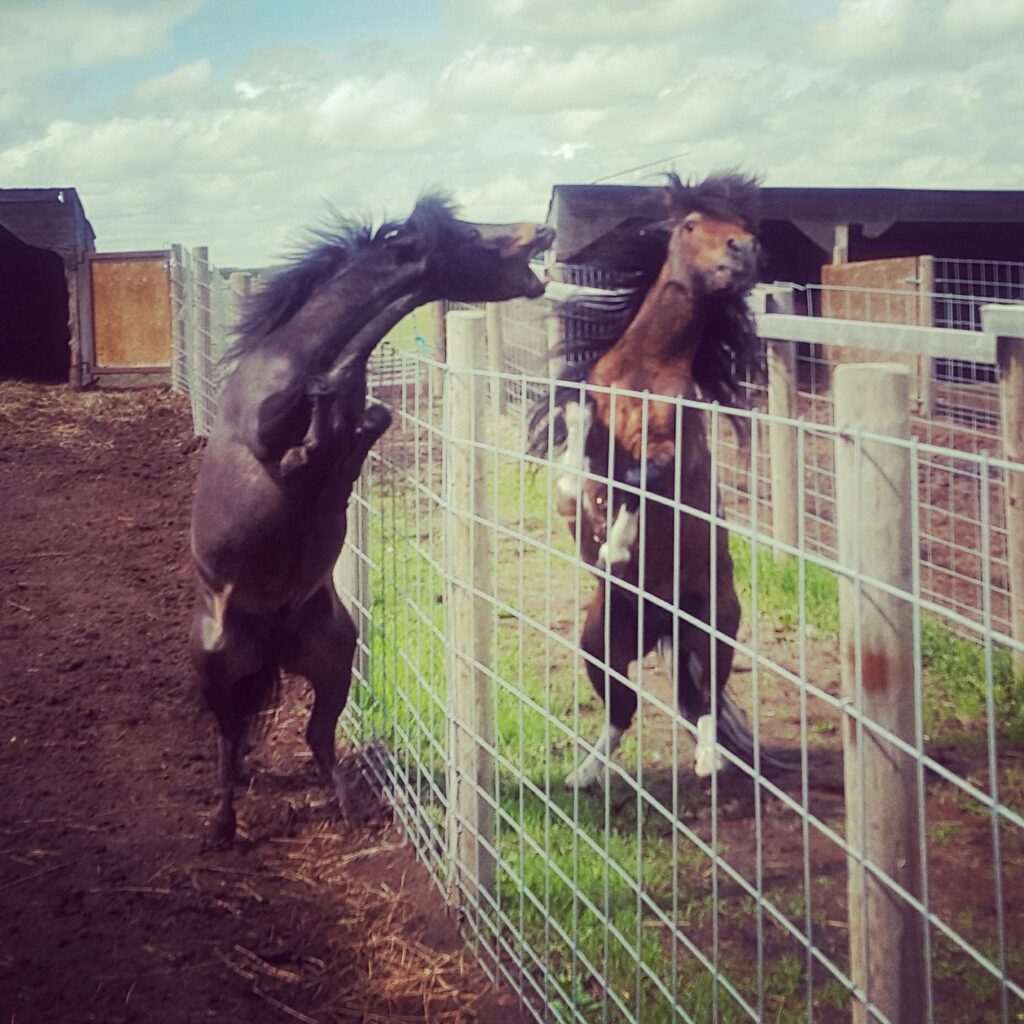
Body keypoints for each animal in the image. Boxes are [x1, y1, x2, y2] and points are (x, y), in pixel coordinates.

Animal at [190, 194, 554, 842]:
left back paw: (350, 811)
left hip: (337, 658)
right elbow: (304, 432)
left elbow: (368, 422)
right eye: (466, 235)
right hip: (215, 666)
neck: (301, 353)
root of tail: (272, 641)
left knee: (316, 734)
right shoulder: (263, 433)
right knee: (229, 742)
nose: (542, 229)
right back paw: (224, 828)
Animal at [530, 172, 781, 788]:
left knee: (704, 700)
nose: (744, 251)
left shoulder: (678, 452)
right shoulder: (592, 424)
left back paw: (710, 759)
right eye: (691, 224)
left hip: (711, 631)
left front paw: (617, 545)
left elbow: (647, 476)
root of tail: (660, 623)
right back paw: (584, 774)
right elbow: (580, 453)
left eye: (744, 227)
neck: (643, 370)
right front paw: (591, 516)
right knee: (623, 708)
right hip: (599, 642)